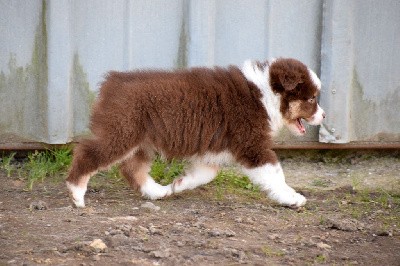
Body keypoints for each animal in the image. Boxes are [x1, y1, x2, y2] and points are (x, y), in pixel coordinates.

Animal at [66, 57, 324, 208]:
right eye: (311, 99)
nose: (323, 116)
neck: (266, 94)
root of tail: (113, 82)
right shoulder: (253, 145)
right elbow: (276, 173)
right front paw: (292, 197)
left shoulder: (211, 150)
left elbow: (206, 174)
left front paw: (180, 184)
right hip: (121, 132)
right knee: (87, 152)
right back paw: (77, 193)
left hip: (141, 140)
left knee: (132, 169)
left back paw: (157, 192)